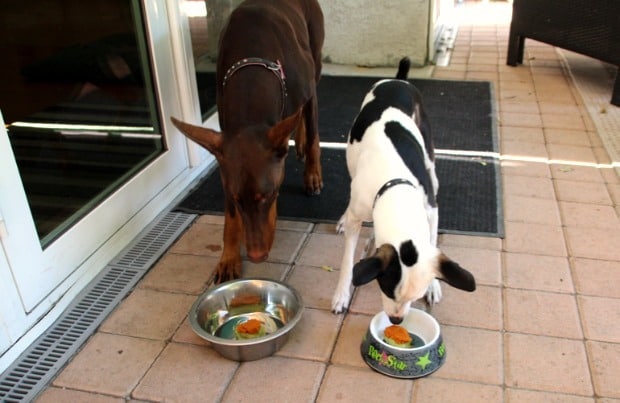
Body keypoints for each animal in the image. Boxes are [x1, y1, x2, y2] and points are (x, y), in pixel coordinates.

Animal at [171, 0, 324, 284]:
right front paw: (229, 258)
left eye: (270, 194)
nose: (256, 255)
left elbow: (314, 137)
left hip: (315, 62)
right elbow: (231, 219)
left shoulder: (308, 92)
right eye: (235, 199)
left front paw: (312, 175)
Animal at [332, 58, 478, 326]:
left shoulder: (431, 210)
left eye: (416, 296)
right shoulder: (358, 215)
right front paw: (341, 295)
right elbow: (347, 260)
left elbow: (432, 242)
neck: (394, 183)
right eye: (386, 289)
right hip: (351, 159)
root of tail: (397, 80)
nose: (396, 320)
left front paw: (434, 286)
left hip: (430, 157)